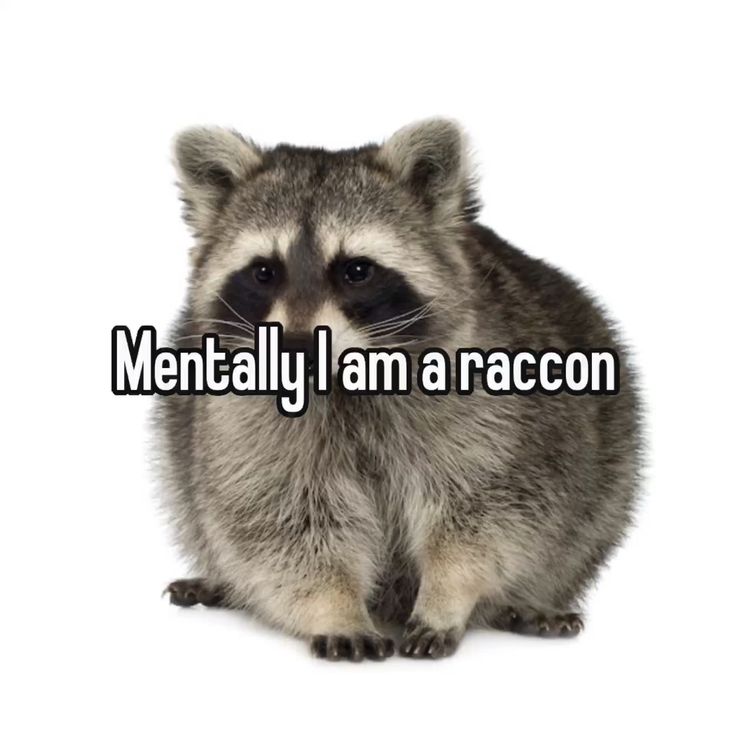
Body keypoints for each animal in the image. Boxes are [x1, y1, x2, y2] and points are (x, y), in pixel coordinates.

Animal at [156, 119, 641, 661]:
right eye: (265, 272)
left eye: (356, 270)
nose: (299, 346)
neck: (343, 378)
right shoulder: (243, 419)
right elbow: (282, 522)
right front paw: (335, 606)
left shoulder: (490, 403)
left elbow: (488, 510)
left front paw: (448, 593)